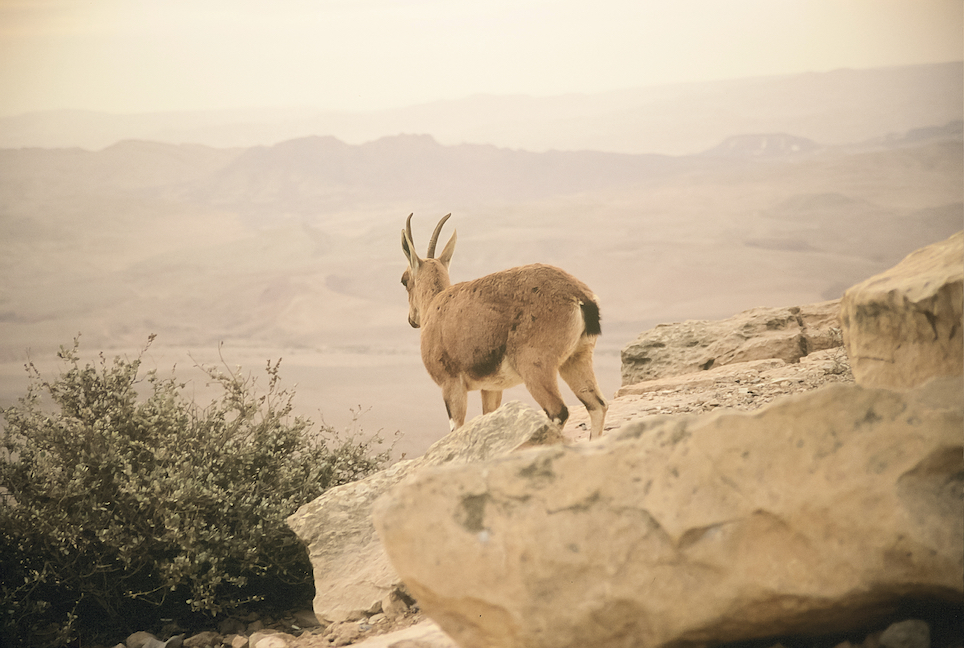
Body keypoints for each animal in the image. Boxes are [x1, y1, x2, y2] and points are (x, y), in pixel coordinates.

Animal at [396, 215, 608, 438]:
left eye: (404, 280)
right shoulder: (491, 388)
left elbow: (457, 428)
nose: (412, 319)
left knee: (558, 411)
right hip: (577, 358)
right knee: (597, 405)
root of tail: (579, 296)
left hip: (535, 364)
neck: (434, 303)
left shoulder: (451, 383)